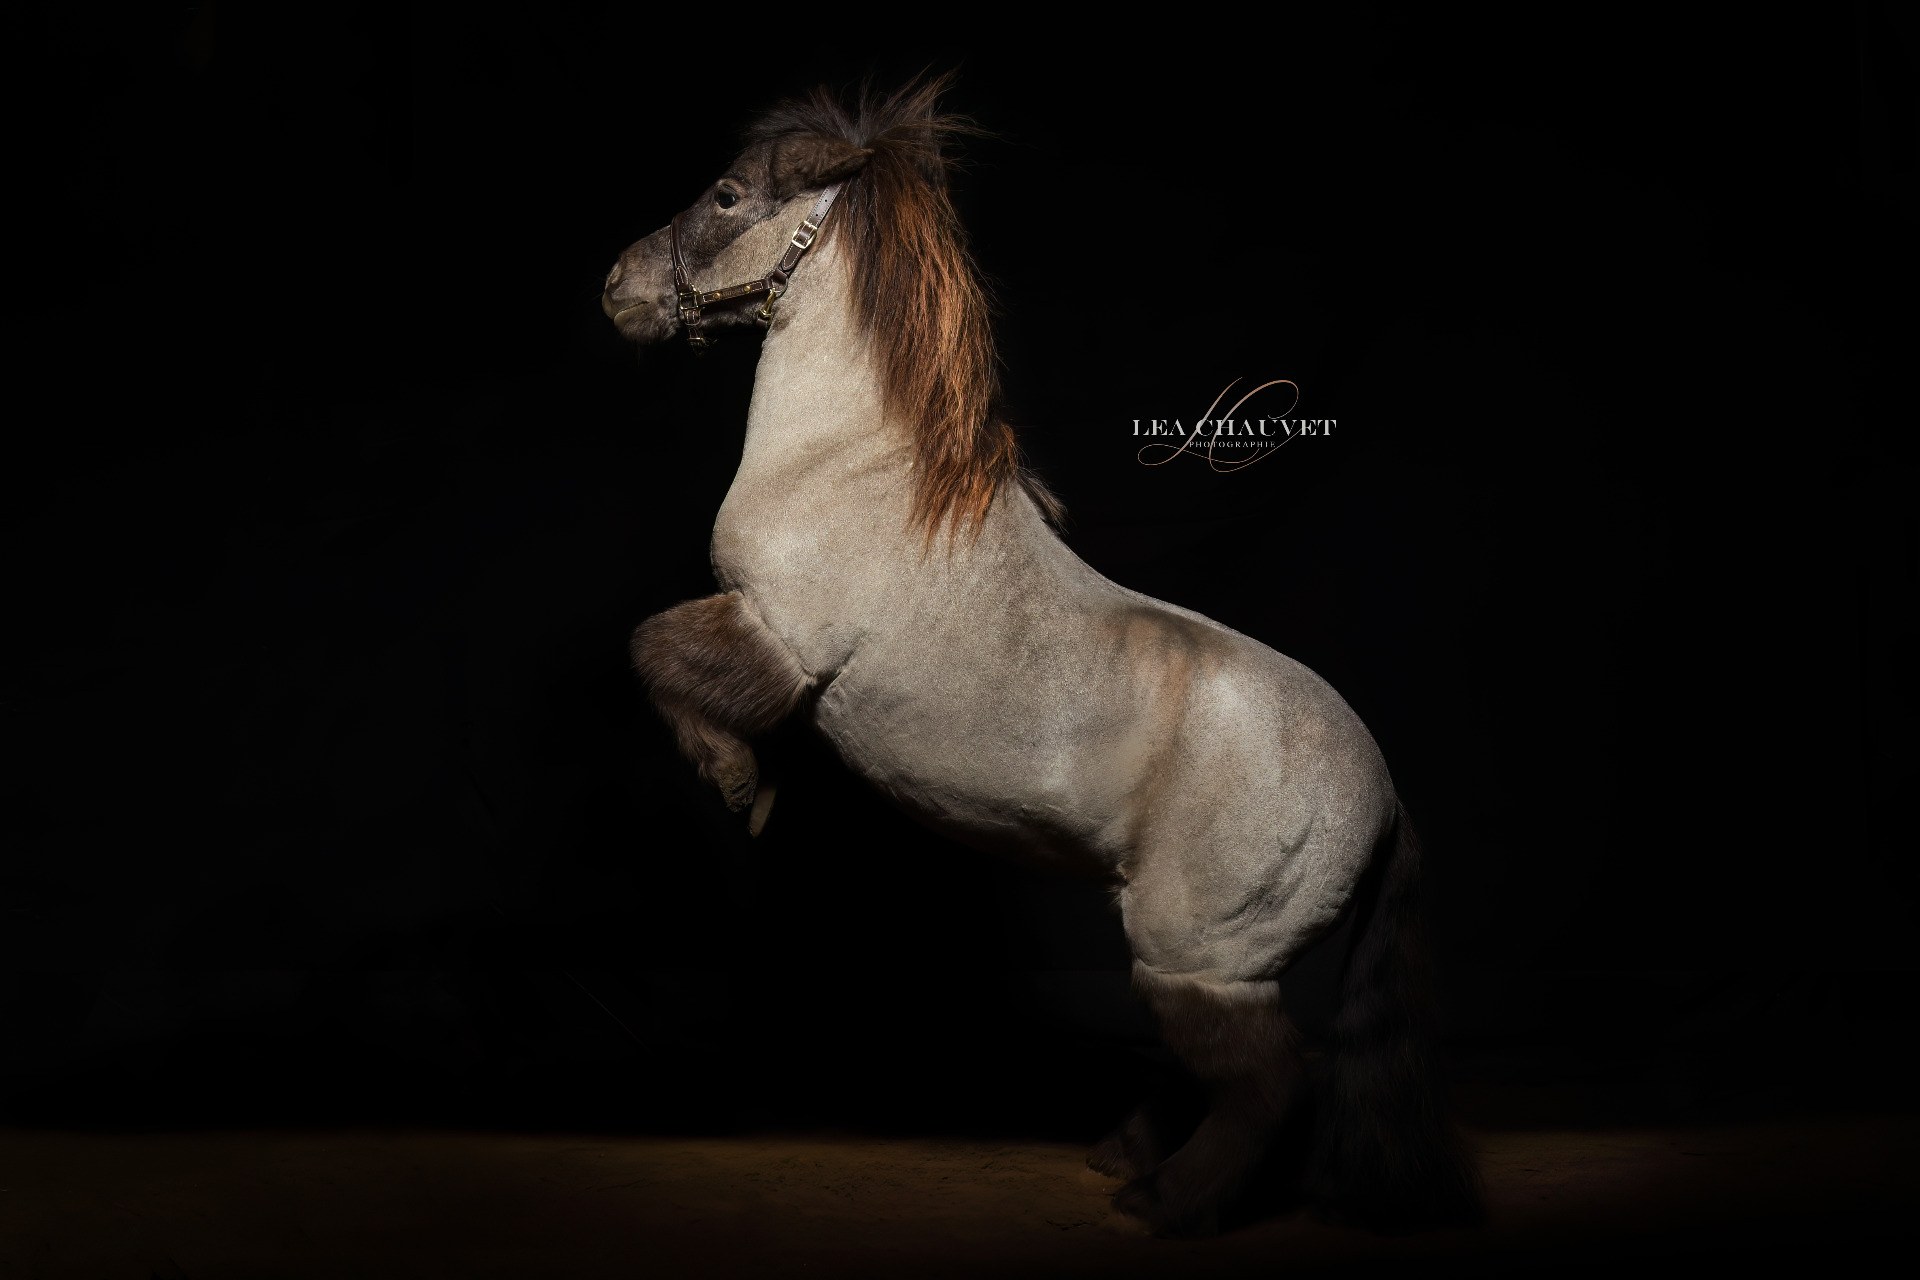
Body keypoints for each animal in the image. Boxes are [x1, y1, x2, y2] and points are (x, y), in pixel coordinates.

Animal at [600, 78, 1481, 1237]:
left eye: (727, 194)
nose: (617, 286)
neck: (857, 469)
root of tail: (1383, 796)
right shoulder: (766, 642)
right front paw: (754, 787)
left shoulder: (775, 636)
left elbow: (653, 648)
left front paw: (736, 780)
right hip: (1192, 960)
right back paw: (1126, 1154)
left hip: (1200, 957)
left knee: (1268, 1082)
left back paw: (1167, 1200)